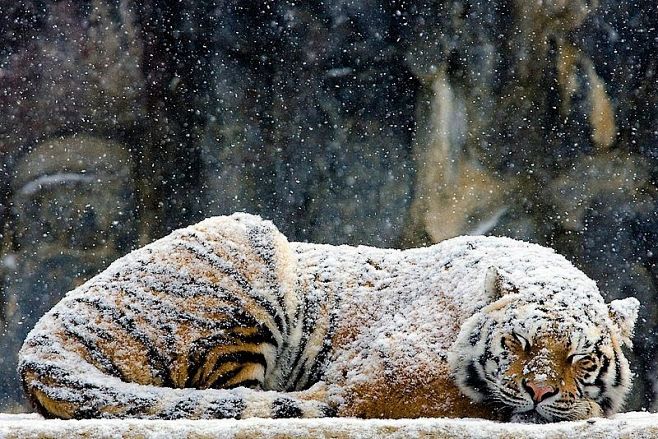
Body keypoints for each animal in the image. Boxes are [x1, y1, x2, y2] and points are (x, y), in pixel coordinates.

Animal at [18, 212, 639, 422]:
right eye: (516, 345)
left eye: (579, 358)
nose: (537, 391)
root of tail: (40, 341)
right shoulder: (381, 376)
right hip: (251, 251)